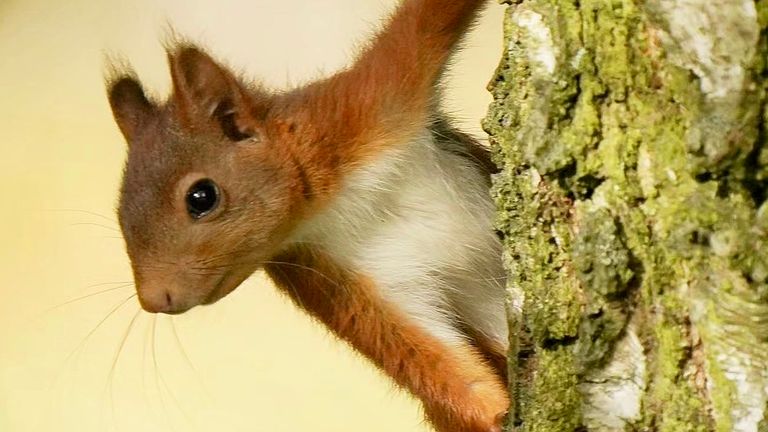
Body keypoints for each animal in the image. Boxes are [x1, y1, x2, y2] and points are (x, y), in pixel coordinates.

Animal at [105, 0, 508, 432]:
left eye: (201, 197)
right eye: (119, 214)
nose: (153, 299)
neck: (329, 204)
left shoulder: (373, 101)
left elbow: (428, 22)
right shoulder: (337, 275)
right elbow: (428, 357)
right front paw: (495, 412)